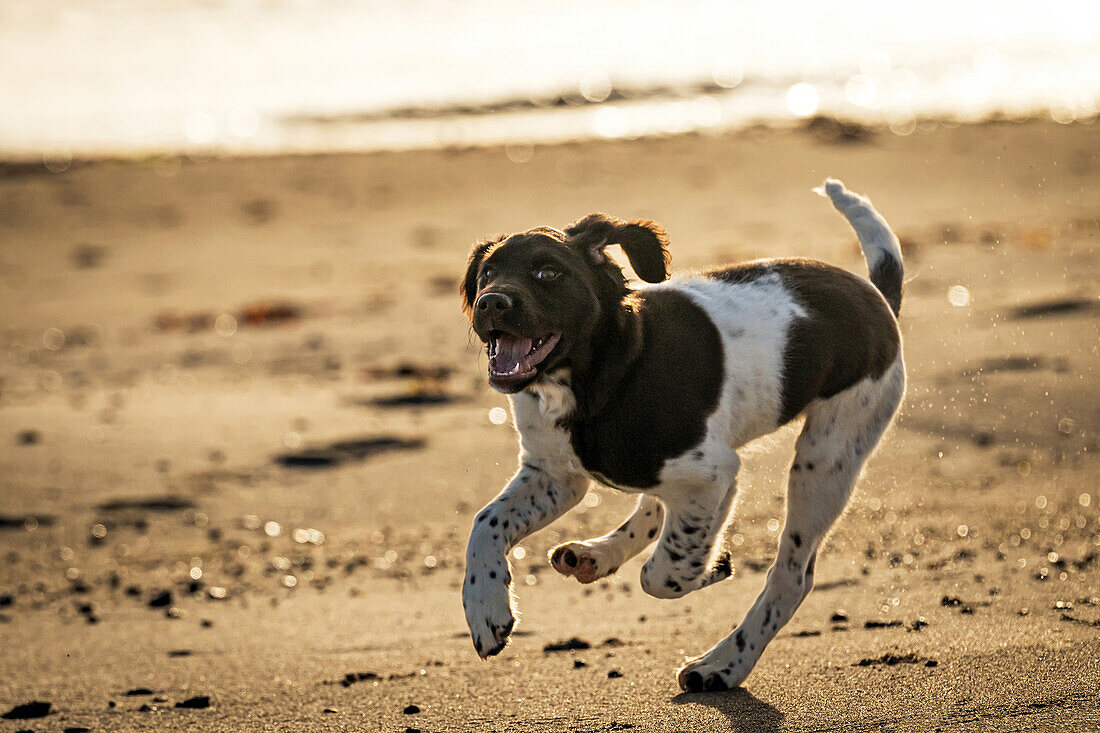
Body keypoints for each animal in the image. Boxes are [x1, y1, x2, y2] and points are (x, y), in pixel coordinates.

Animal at [459, 179, 906, 686]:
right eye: (488, 272)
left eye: (548, 272)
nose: (490, 302)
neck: (604, 372)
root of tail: (877, 297)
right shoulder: (555, 474)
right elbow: (486, 522)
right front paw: (485, 610)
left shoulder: (715, 472)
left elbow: (664, 572)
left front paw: (715, 566)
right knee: (657, 505)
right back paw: (598, 554)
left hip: (826, 459)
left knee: (790, 577)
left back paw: (723, 664)